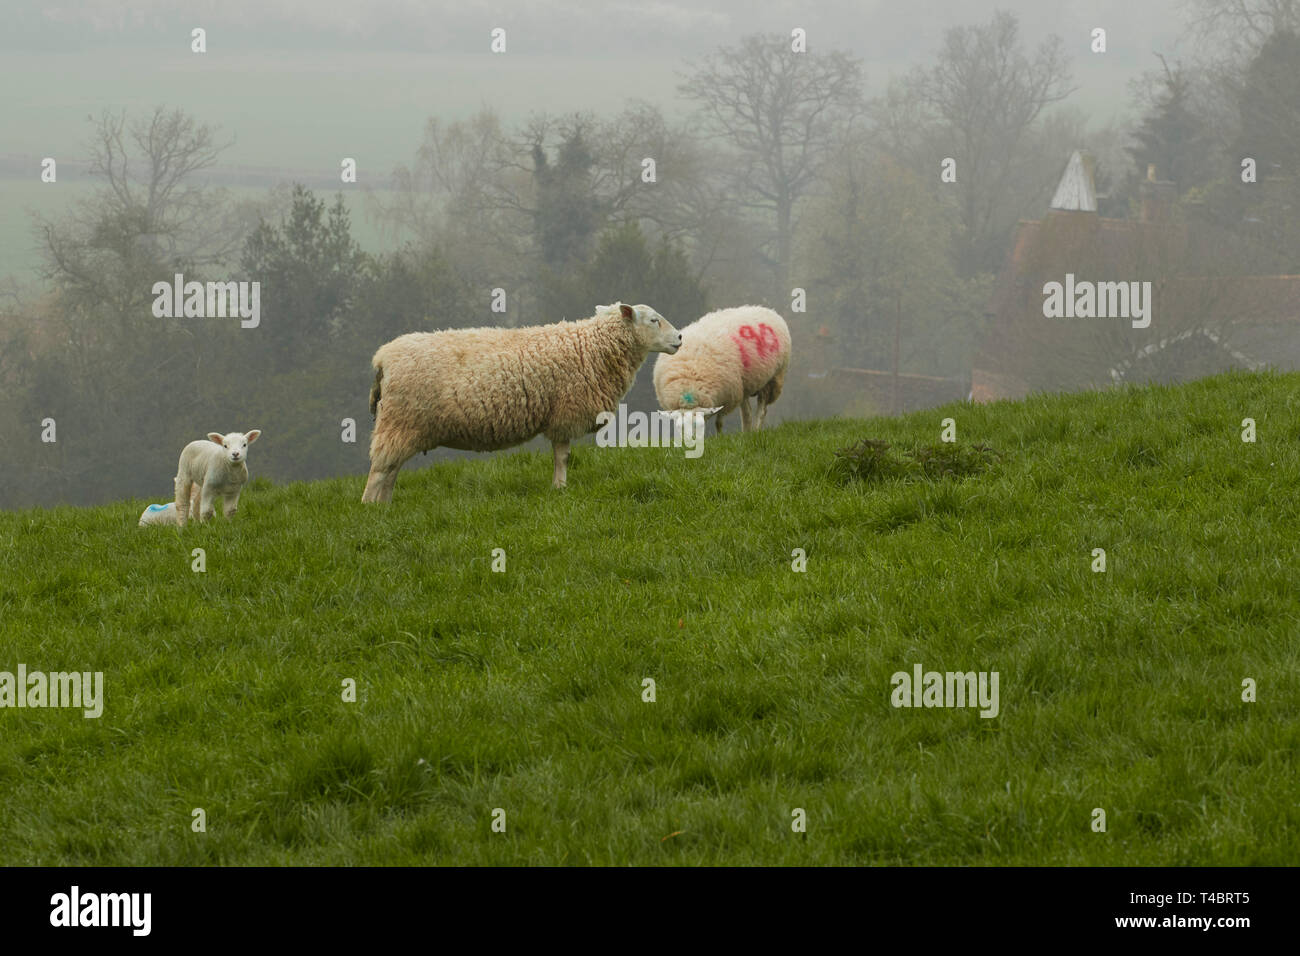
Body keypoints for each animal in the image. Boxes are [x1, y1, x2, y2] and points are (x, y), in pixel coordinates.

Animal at [362, 302, 682, 502]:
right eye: (654, 320)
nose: (680, 337)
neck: (590, 346)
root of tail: (382, 359)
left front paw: (558, 486)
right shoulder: (564, 413)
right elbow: (563, 456)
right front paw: (560, 487)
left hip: (404, 426)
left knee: (390, 470)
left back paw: (385, 506)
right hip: (400, 420)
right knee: (379, 470)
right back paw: (370, 509)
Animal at [653, 305, 792, 434]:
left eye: (699, 425)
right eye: (679, 427)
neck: (690, 382)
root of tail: (767, 309)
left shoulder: (727, 397)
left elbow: (719, 422)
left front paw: (719, 437)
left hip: (772, 378)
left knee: (762, 410)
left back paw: (756, 430)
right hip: (744, 384)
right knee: (747, 412)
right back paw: (747, 433)